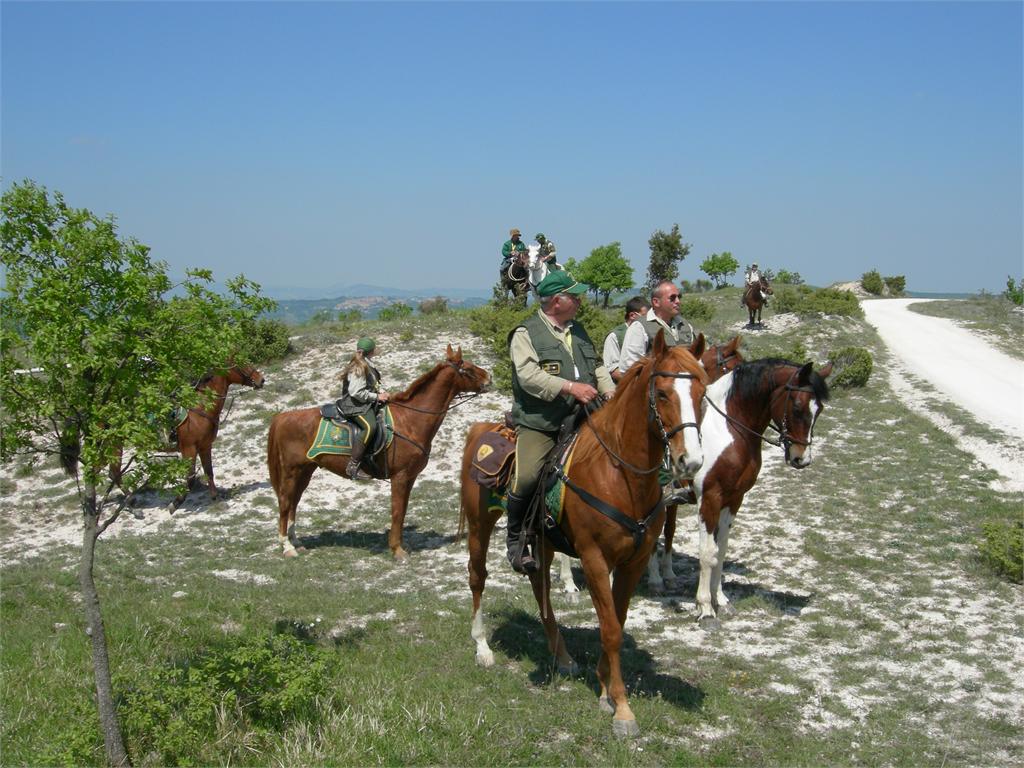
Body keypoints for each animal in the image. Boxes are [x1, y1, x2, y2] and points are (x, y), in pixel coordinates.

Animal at [268, 345, 490, 559]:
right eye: (468, 368)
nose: (489, 378)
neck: (410, 420)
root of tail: (282, 417)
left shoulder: (409, 478)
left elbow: (403, 511)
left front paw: (400, 545)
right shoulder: (399, 477)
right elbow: (397, 512)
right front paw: (397, 551)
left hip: (305, 470)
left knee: (294, 502)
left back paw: (296, 542)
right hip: (292, 471)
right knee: (285, 502)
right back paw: (287, 547)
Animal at [459, 332, 708, 737]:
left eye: (702, 392)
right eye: (662, 393)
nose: (692, 462)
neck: (618, 473)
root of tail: (481, 429)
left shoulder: (633, 561)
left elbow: (617, 622)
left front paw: (605, 688)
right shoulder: (594, 559)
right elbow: (610, 629)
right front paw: (622, 709)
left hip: (541, 542)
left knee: (540, 585)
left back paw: (561, 655)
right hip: (480, 526)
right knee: (477, 578)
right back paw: (482, 648)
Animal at [691, 357, 832, 630]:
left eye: (819, 410)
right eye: (797, 407)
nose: (802, 459)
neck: (728, 428)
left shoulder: (733, 499)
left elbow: (721, 549)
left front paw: (720, 599)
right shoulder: (710, 499)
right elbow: (707, 552)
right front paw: (705, 609)